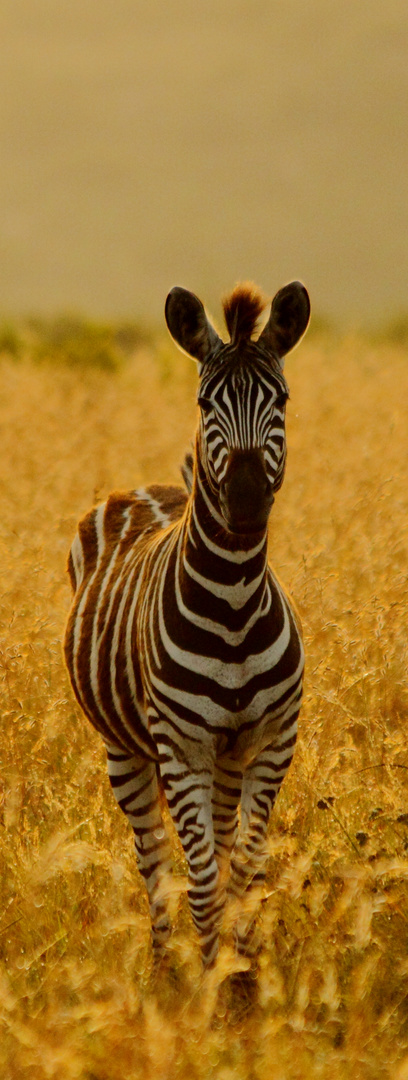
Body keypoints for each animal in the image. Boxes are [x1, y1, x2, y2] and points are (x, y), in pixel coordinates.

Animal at [65, 276, 310, 963]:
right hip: (124, 747)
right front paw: (207, 976)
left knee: (219, 847)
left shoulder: (271, 742)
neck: (233, 602)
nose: (247, 502)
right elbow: (200, 882)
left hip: (225, 757)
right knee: (152, 858)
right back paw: (164, 962)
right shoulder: (180, 747)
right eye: (205, 403)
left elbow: (245, 872)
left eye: (281, 399)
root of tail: (149, 487)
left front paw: (243, 973)